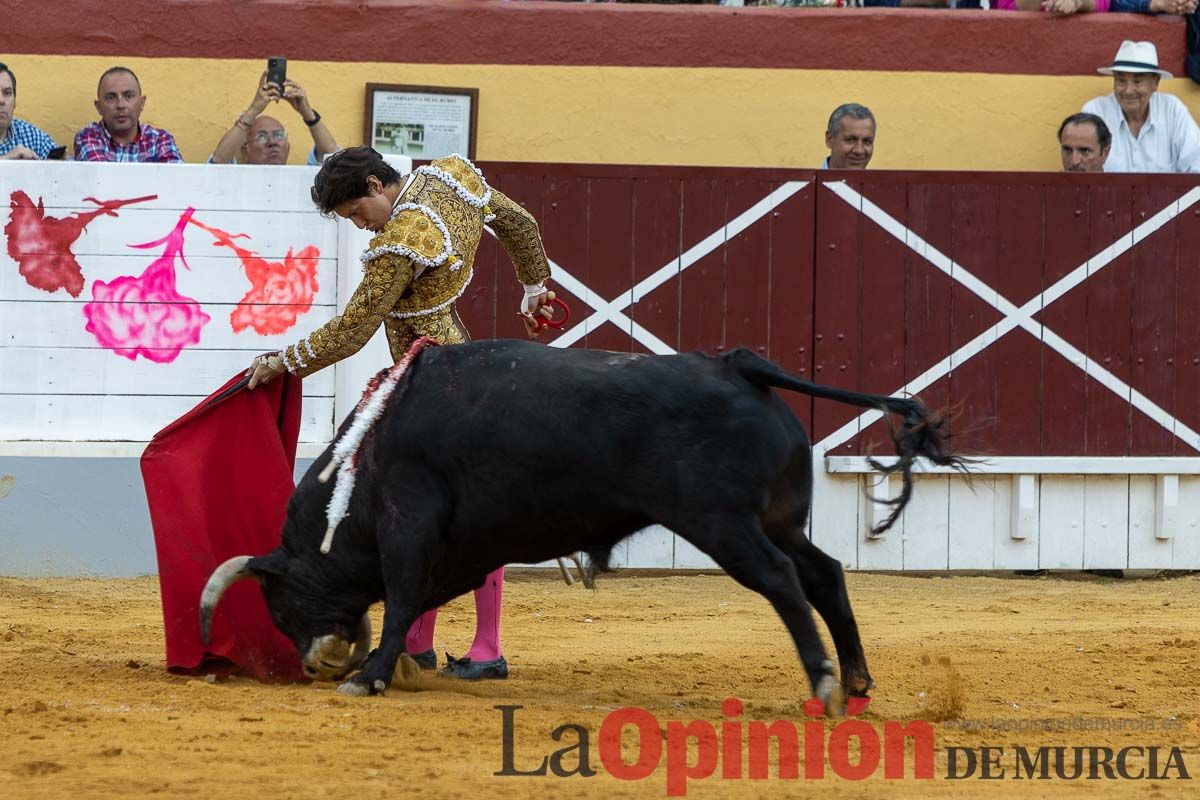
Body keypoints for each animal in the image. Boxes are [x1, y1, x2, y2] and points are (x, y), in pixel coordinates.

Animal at [199, 340, 964, 705]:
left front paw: (373, 676)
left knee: (782, 581)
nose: (316, 663)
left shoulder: (409, 521)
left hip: (724, 525)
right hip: (775, 520)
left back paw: (824, 683)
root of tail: (739, 368)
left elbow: (401, 598)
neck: (374, 445)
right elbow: (415, 599)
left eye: (279, 602)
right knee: (824, 573)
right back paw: (856, 681)